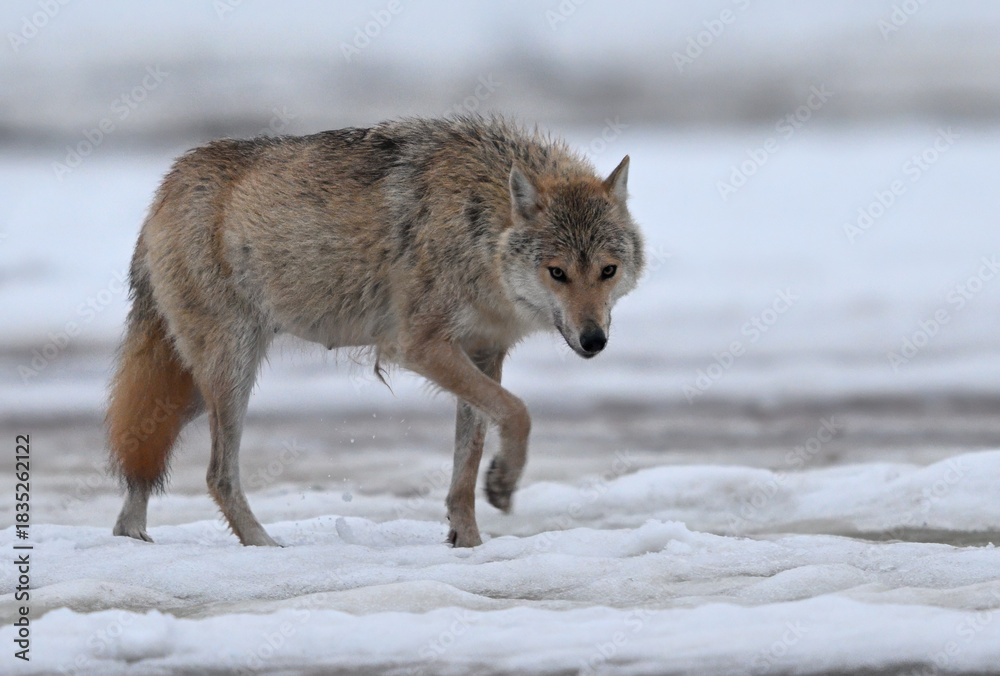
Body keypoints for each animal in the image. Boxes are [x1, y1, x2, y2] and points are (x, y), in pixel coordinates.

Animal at [106, 115, 645, 547]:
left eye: (607, 271)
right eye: (557, 273)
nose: (594, 341)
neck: (479, 229)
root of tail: (168, 182)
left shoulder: (483, 354)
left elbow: (466, 463)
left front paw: (468, 541)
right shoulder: (421, 348)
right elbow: (518, 413)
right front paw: (504, 484)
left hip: (196, 389)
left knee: (145, 452)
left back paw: (131, 537)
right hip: (230, 376)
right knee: (217, 475)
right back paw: (264, 546)